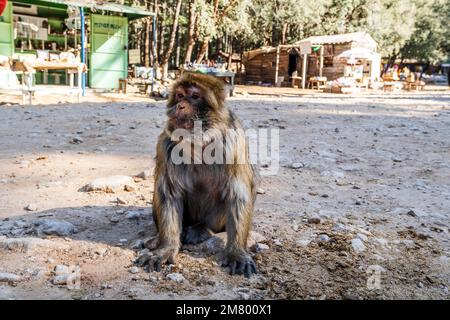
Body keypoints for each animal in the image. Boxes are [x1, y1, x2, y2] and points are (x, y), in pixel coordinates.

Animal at [137, 72, 256, 278]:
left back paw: (202, 229)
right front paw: (166, 247)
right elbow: (168, 193)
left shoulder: (233, 142)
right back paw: (159, 237)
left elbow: (237, 195)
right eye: (179, 95)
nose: (180, 106)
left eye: (194, 96)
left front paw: (237, 252)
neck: (198, 142)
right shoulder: (166, 144)